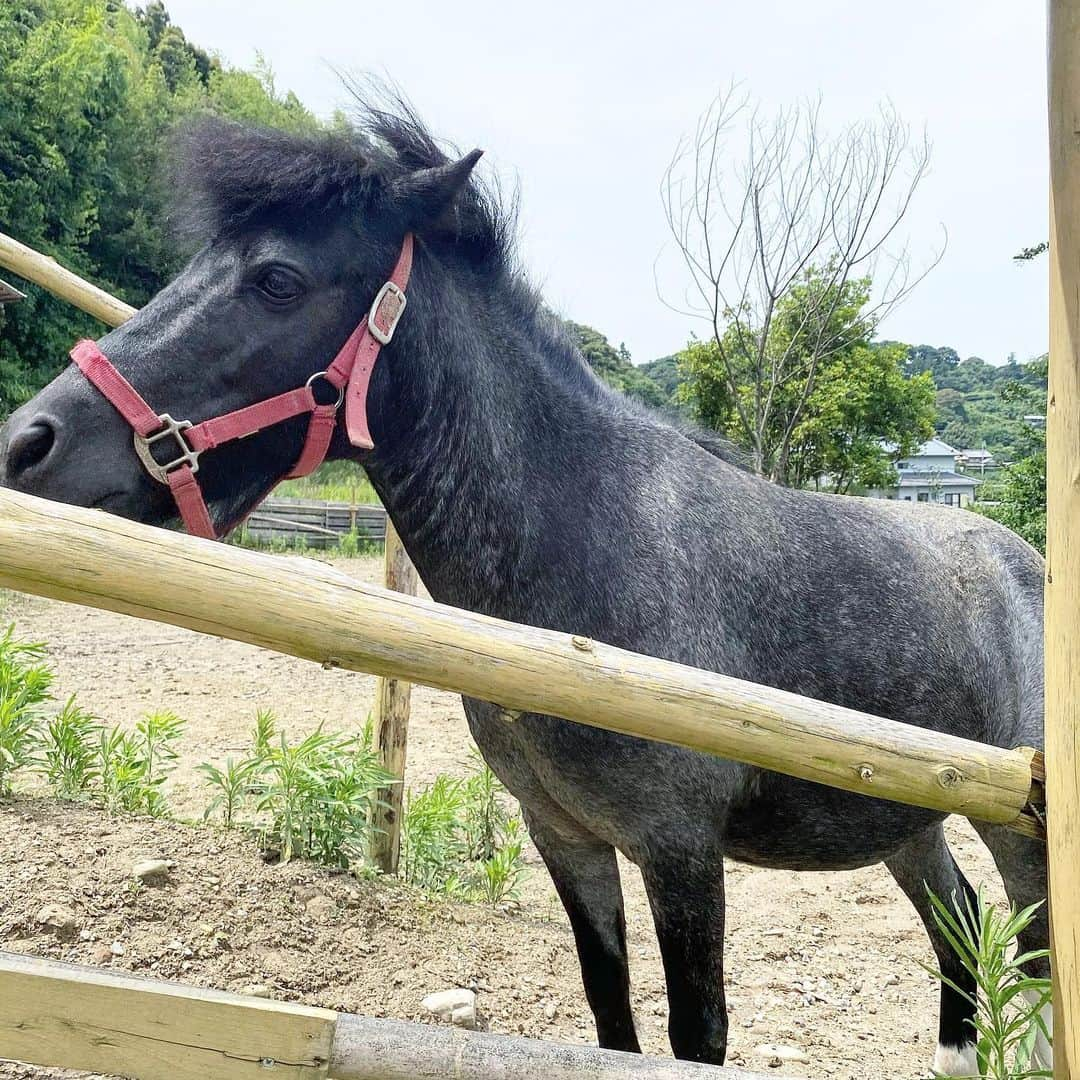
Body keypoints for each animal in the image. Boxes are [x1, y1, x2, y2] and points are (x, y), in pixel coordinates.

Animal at [0, 103, 1045, 1071]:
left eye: (277, 280)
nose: (28, 444)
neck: (584, 574)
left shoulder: (679, 850)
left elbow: (696, 1037)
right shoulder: (566, 838)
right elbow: (611, 1018)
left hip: (1020, 836)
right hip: (906, 823)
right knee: (957, 919)